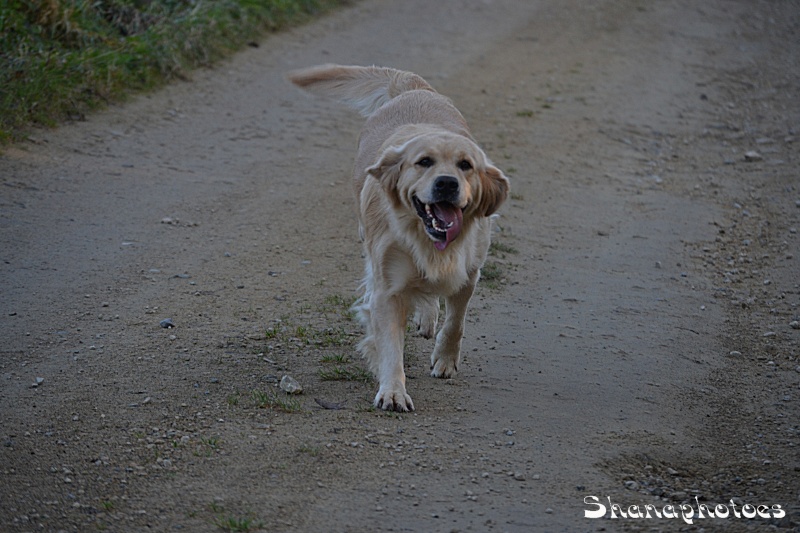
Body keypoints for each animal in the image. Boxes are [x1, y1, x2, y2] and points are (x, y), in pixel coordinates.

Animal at [290, 63, 510, 412]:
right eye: (424, 162)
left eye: (466, 165)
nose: (446, 183)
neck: (424, 237)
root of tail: (412, 87)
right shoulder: (388, 288)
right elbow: (391, 343)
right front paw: (393, 391)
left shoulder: (469, 273)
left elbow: (456, 322)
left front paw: (445, 360)